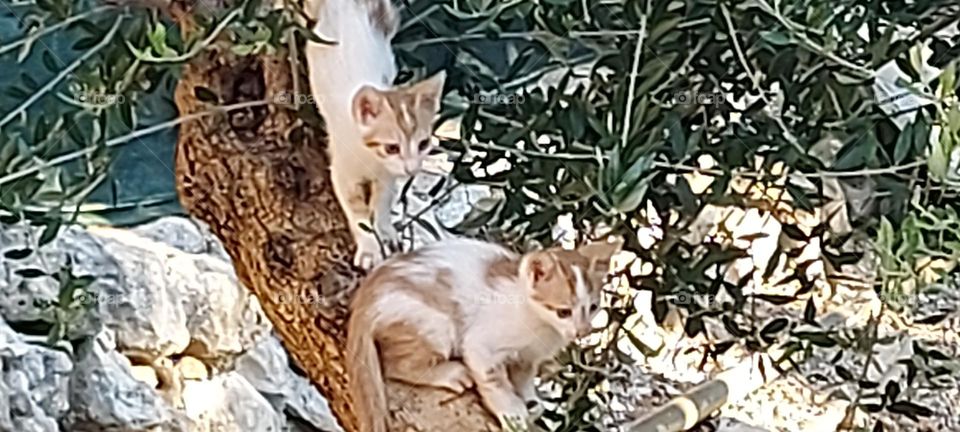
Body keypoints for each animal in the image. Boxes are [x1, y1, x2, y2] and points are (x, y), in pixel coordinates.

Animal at [304, 0, 446, 268]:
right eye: (391, 148)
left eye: (423, 144)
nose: (411, 170)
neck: (370, 157)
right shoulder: (342, 172)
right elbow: (356, 211)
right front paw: (369, 248)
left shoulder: (388, 175)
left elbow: (382, 202)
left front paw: (385, 230)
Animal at [344, 238, 624, 430]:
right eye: (563, 312)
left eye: (593, 307)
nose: (582, 330)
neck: (541, 324)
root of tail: (365, 298)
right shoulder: (481, 345)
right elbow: (494, 381)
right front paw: (512, 413)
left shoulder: (528, 357)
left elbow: (523, 376)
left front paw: (529, 400)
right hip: (434, 322)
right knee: (395, 364)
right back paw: (451, 373)